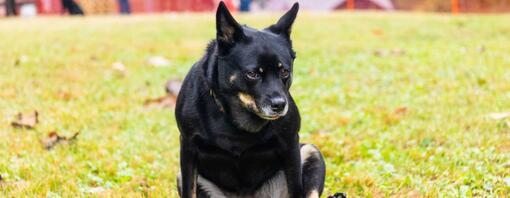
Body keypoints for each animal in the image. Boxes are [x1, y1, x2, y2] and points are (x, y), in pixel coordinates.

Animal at [175, 1, 326, 198]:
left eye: (284, 71)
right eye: (253, 74)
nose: (279, 105)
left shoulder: (291, 145)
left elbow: (296, 188)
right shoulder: (188, 148)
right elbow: (189, 189)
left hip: (311, 152)